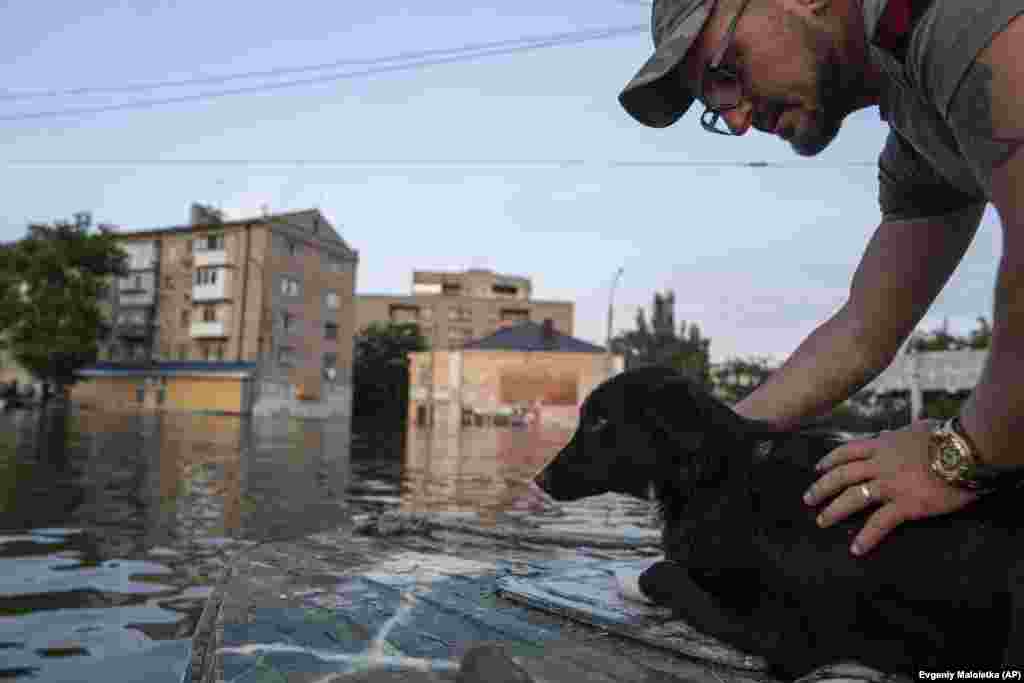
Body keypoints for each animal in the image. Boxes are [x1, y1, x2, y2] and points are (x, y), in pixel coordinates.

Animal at [532, 370, 1019, 679]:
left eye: (599, 421)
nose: (539, 479)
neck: (718, 476)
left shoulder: (788, 634)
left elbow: (661, 572)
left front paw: (637, 578)